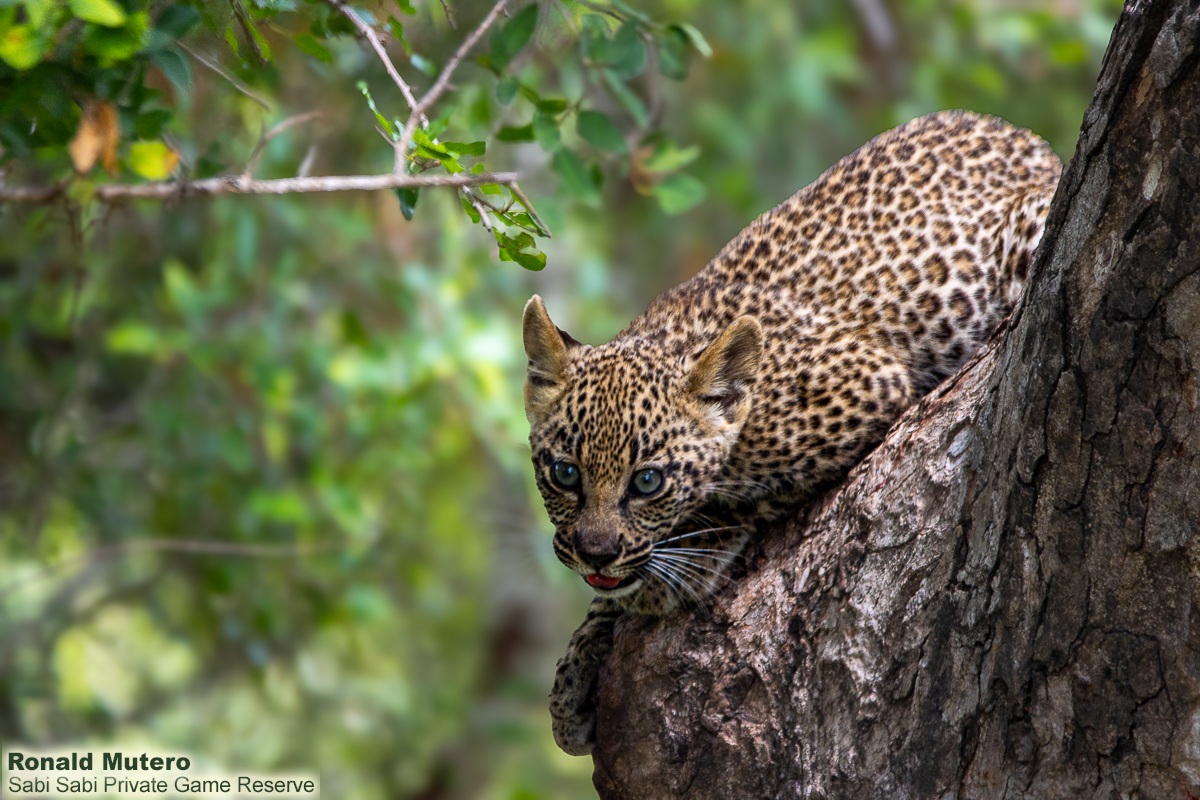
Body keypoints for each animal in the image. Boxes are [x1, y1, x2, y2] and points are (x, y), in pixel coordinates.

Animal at [521, 110, 1062, 756]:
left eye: (648, 482)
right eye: (564, 473)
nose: (595, 553)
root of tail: (1031, 142)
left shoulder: (866, 386)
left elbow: (730, 507)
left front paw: (670, 573)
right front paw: (572, 676)